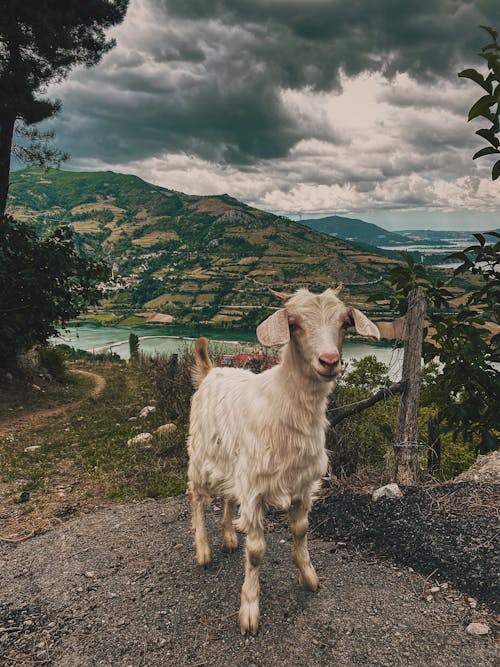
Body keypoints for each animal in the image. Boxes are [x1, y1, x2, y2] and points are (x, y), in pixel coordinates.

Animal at [187, 286, 378, 636]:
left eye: (345, 324)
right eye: (295, 324)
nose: (329, 361)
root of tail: (211, 371)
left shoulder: (302, 483)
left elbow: (301, 531)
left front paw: (308, 576)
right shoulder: (255, 488)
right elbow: (256, 552)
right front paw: (249, 609)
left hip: (233, 462)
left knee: (227, 496)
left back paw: (229, 537)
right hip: (201, 455)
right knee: (197, 498)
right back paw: (204, 550)